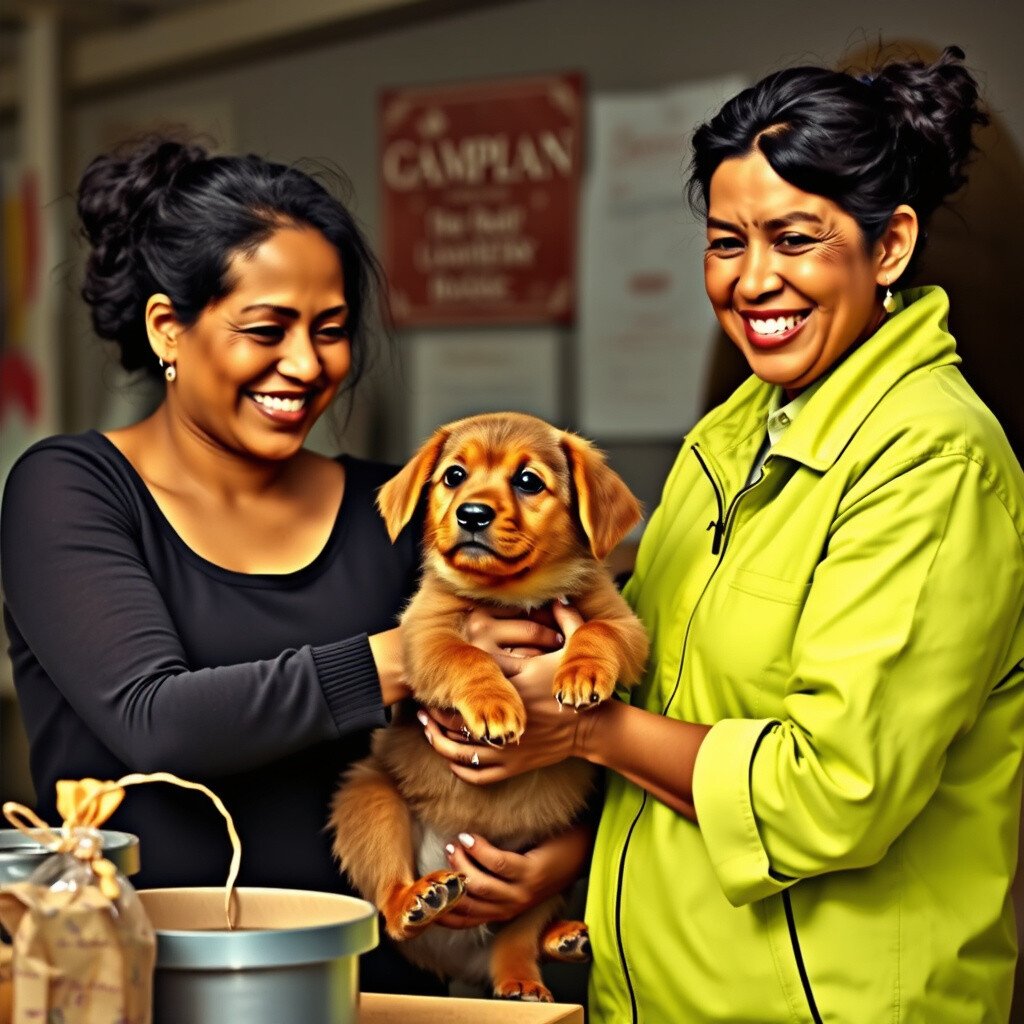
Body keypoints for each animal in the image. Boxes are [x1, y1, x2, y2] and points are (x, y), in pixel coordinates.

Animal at [330, 412, 648, 1001]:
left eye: (528, 481)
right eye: (454, 475)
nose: (472, 513)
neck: (514, 596)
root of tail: (460, 960)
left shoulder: (624, 624)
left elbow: (595, 632)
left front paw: (582, 671)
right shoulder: (423, 635)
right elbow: (467, 656)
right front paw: (493, 704)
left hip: (547, 873)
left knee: (517, 942)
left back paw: (545, 957)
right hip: (369, 800)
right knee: (391, 909)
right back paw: (419, 900)